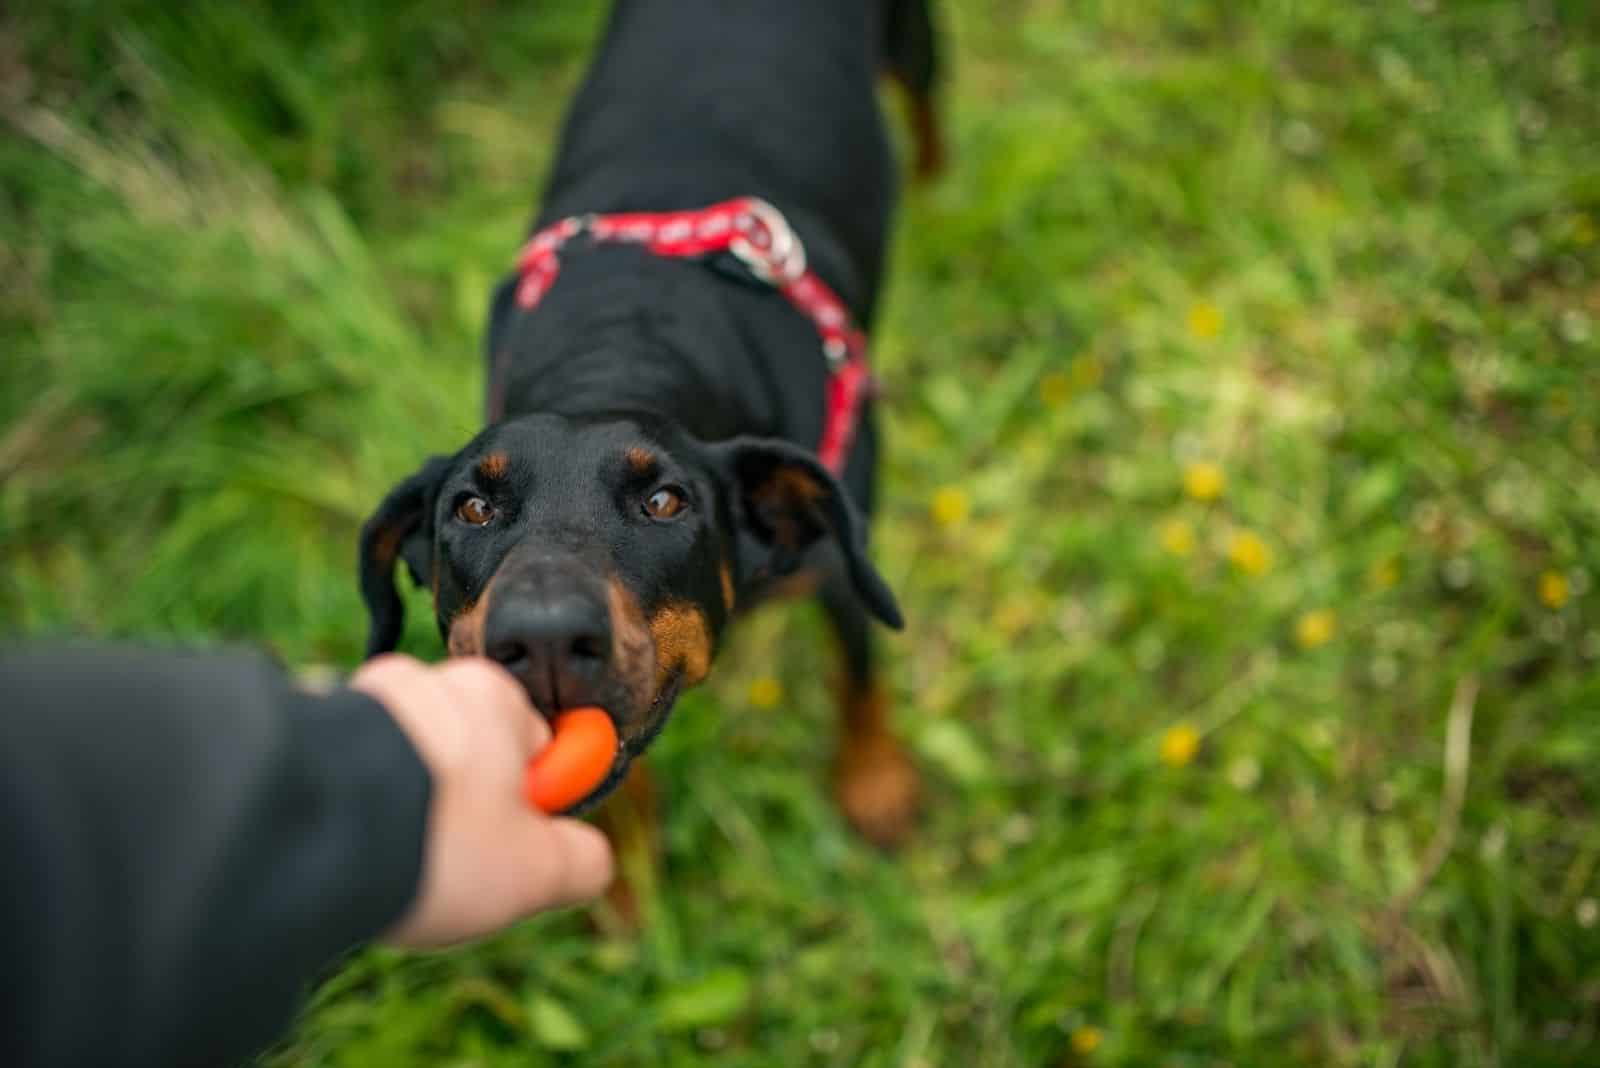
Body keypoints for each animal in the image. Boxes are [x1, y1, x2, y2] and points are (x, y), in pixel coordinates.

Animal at [356, 0, 940, 850]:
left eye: (665, 501)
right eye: (473, 507)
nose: (544, 638)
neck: (619, 348)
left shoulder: (838, 562)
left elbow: (858, 672)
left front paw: (876, 782)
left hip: (913, 43)